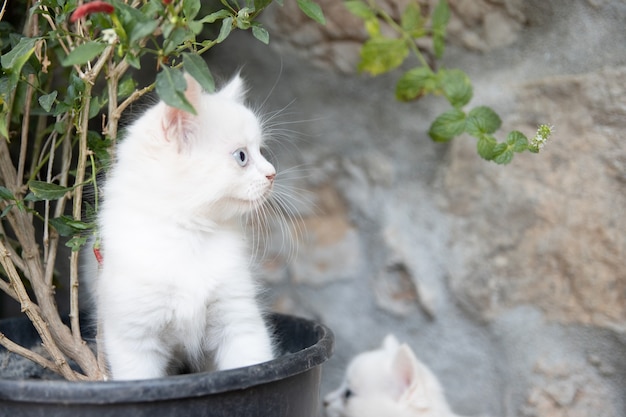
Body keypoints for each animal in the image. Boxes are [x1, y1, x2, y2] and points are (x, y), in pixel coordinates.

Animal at [93, 73, 276, 378]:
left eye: (261, 151)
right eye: (242, 157)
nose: (272, 174)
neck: (191, 234)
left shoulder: (237, 318)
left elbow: (253, 364)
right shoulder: (135, 340)